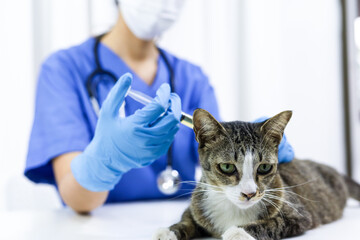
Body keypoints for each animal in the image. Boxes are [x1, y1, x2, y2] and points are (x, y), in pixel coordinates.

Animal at [153, 109, 360, 240]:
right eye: (227, 167)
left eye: (264, 167)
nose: (249, 193)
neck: (233, 208)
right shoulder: (197, 206)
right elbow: (188, 219)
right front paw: (170, 231)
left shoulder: (299, 215)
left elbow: (274, 223)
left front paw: (238, 232)